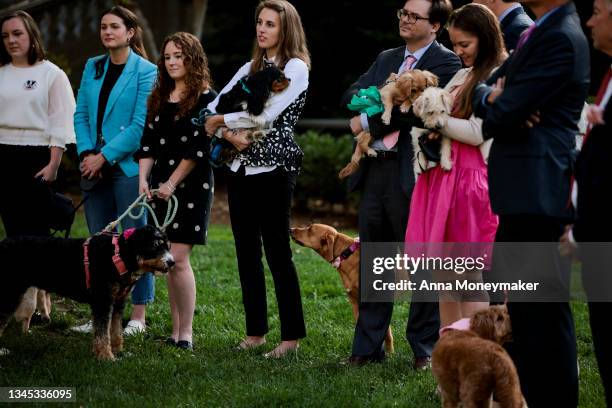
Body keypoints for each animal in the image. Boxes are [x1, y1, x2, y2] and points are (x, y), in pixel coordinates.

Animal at [290, 223, 394, 354]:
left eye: (310, 229)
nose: (290, 229)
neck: (346, 254)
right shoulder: (355, 303)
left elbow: (387, 333)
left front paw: (390, 353)